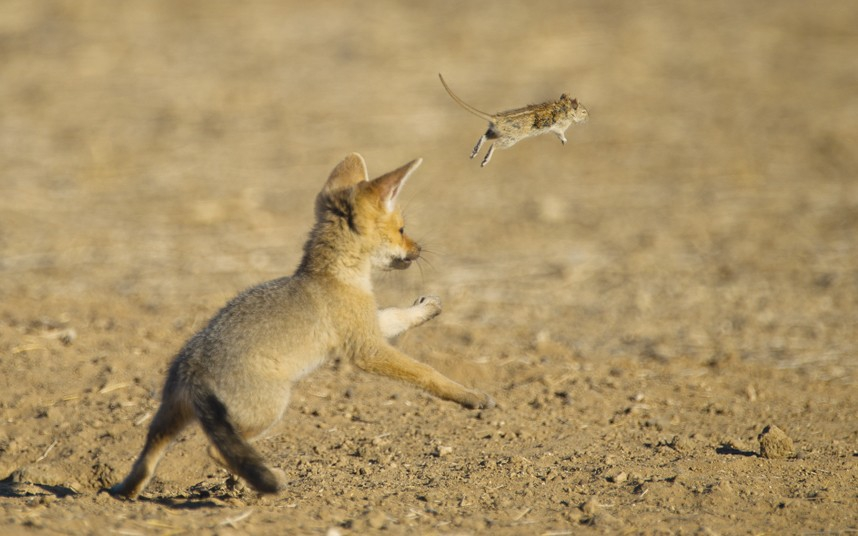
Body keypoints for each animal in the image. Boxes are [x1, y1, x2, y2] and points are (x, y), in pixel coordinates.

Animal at [109, 154, 492, 498]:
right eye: (401, 229)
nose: (419, 248)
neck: (332, 275)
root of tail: (193, 366)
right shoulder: (366, 349)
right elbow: (426, 372)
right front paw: (469, 396)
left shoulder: (365, 325)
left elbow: (397, 315)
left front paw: (426, 308)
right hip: (269, 410)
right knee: (214, 449)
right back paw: (265, 480)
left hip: (169, 419)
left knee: (148, 456)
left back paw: (125, 492)